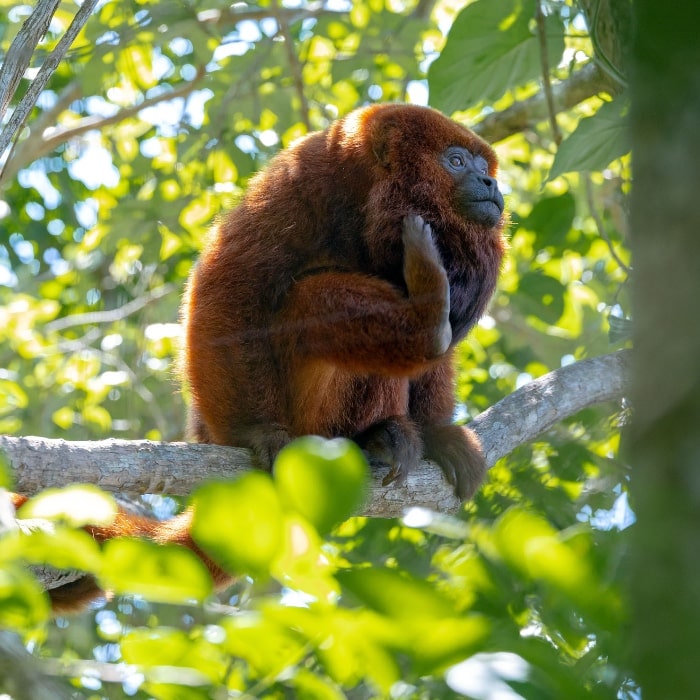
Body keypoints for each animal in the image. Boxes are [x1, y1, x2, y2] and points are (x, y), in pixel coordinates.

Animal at [14, 104, 505, 611]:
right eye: (455, 162)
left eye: (483, 166)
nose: (490, 183)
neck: (373, 199)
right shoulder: (304, 183)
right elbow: (229, 289)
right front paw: (258, 432)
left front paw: (439, 433)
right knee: (313, 296)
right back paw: (421, 332)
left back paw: (389, 430)